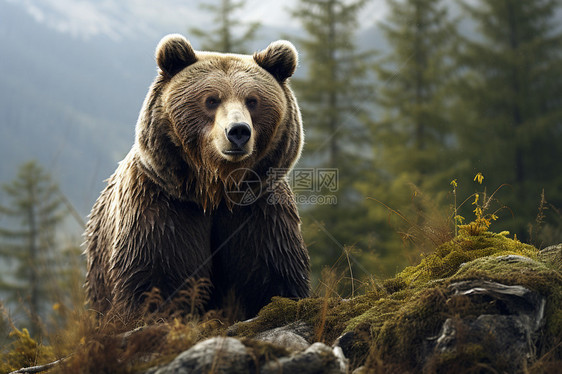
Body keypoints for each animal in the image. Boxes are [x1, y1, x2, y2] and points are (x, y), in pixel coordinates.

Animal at [83, 34, 310, 322]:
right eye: (211, 100)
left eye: (252, 100)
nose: (238, 131)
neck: (215, 189)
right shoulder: (162, 210)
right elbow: (155, 279)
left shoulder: (258, 212)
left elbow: (273, 274)